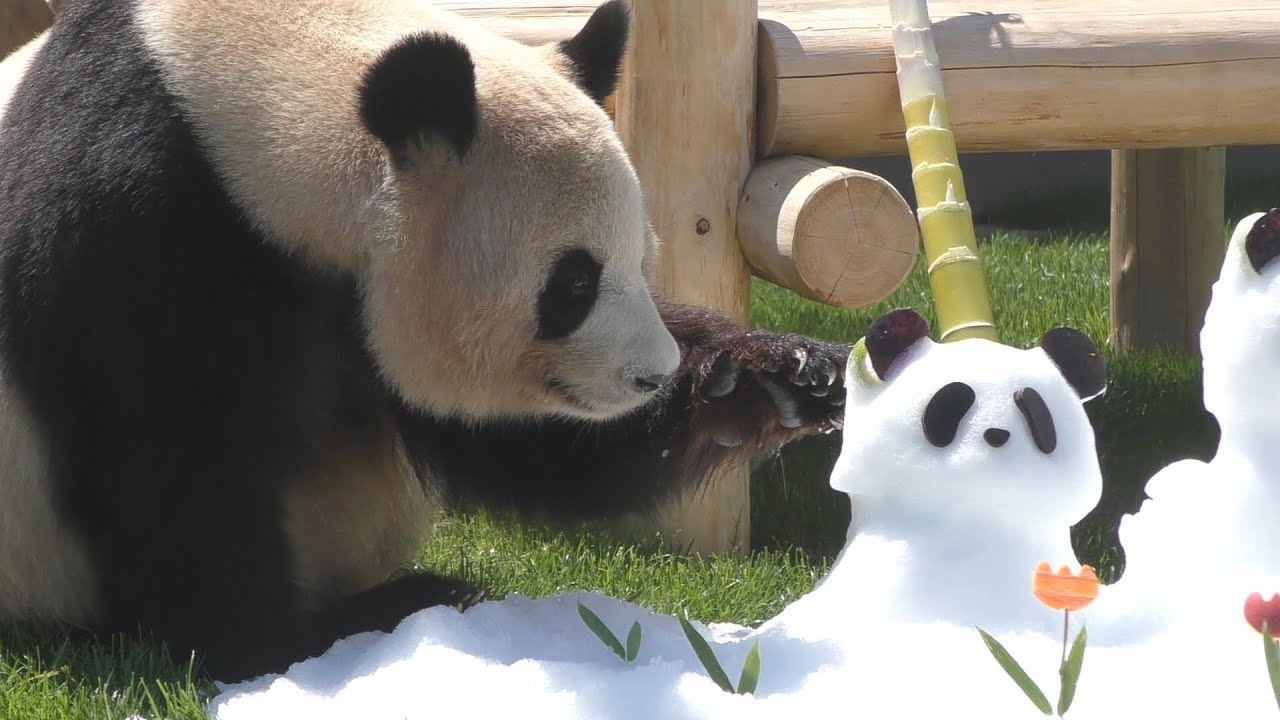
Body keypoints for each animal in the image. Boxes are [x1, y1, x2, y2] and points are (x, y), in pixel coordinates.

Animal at [0, 0, 850, 682]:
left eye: (642, 258)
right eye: (573, 283)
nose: (652, 377)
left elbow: (516, 439)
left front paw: (776, 378)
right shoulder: (137, 222)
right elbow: (174, 453)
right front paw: (277, 641)